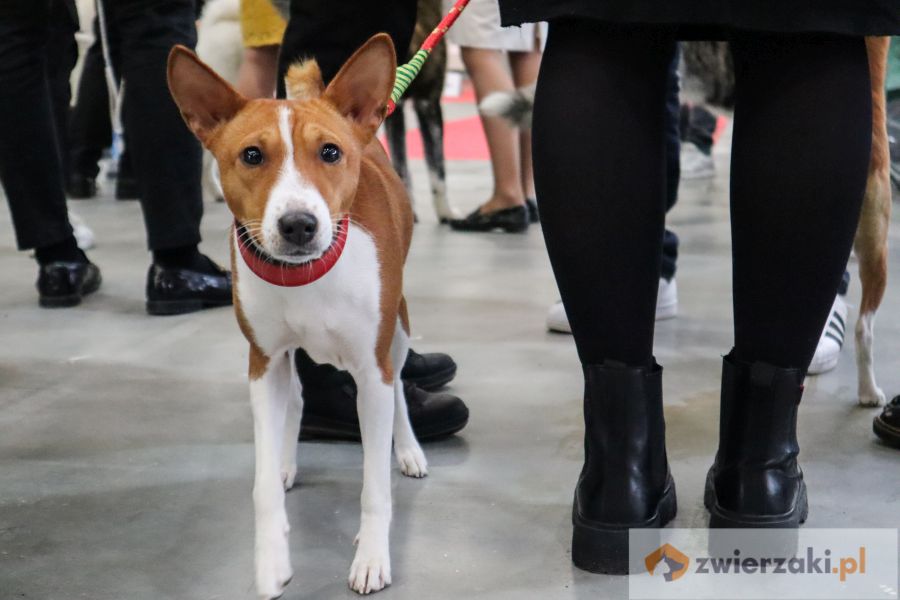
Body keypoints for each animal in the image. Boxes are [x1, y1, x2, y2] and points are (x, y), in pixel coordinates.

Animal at [168, 35, 428, 596]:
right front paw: (270, 559)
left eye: (330, 152)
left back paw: (408, 450)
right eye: (251, 155)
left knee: (398, 385)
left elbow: (374, 485)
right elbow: (263, 482)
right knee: (297, 399)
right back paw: (289, 459)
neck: (307, 275)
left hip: (397, 328)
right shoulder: (263, 362)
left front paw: (371, 557)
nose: (298, 224)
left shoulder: (371, 369)